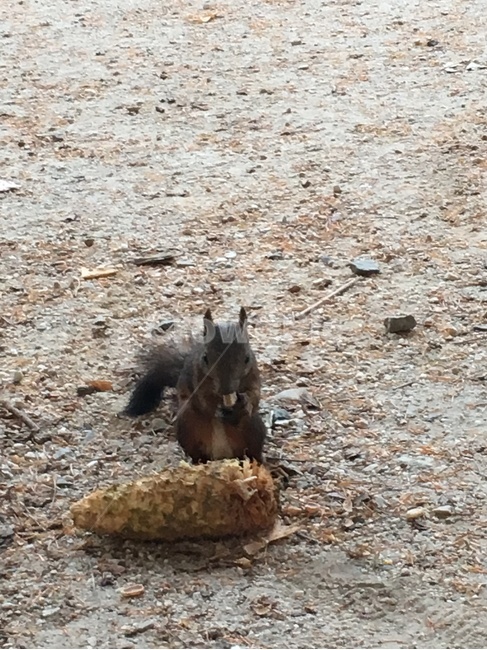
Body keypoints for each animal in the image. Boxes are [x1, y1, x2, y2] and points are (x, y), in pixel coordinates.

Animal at [123, 307, 267, 464]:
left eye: (247, 358)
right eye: (205, 358)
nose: (226, 389)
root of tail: (222, 455)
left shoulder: (253, 375)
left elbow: (254, 394)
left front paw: (243, 404)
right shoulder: (196, 378)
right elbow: (202, 400)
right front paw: (215, 409)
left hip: (253, 427)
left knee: (252, 449)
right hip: (187, 425)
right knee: (196, 453)